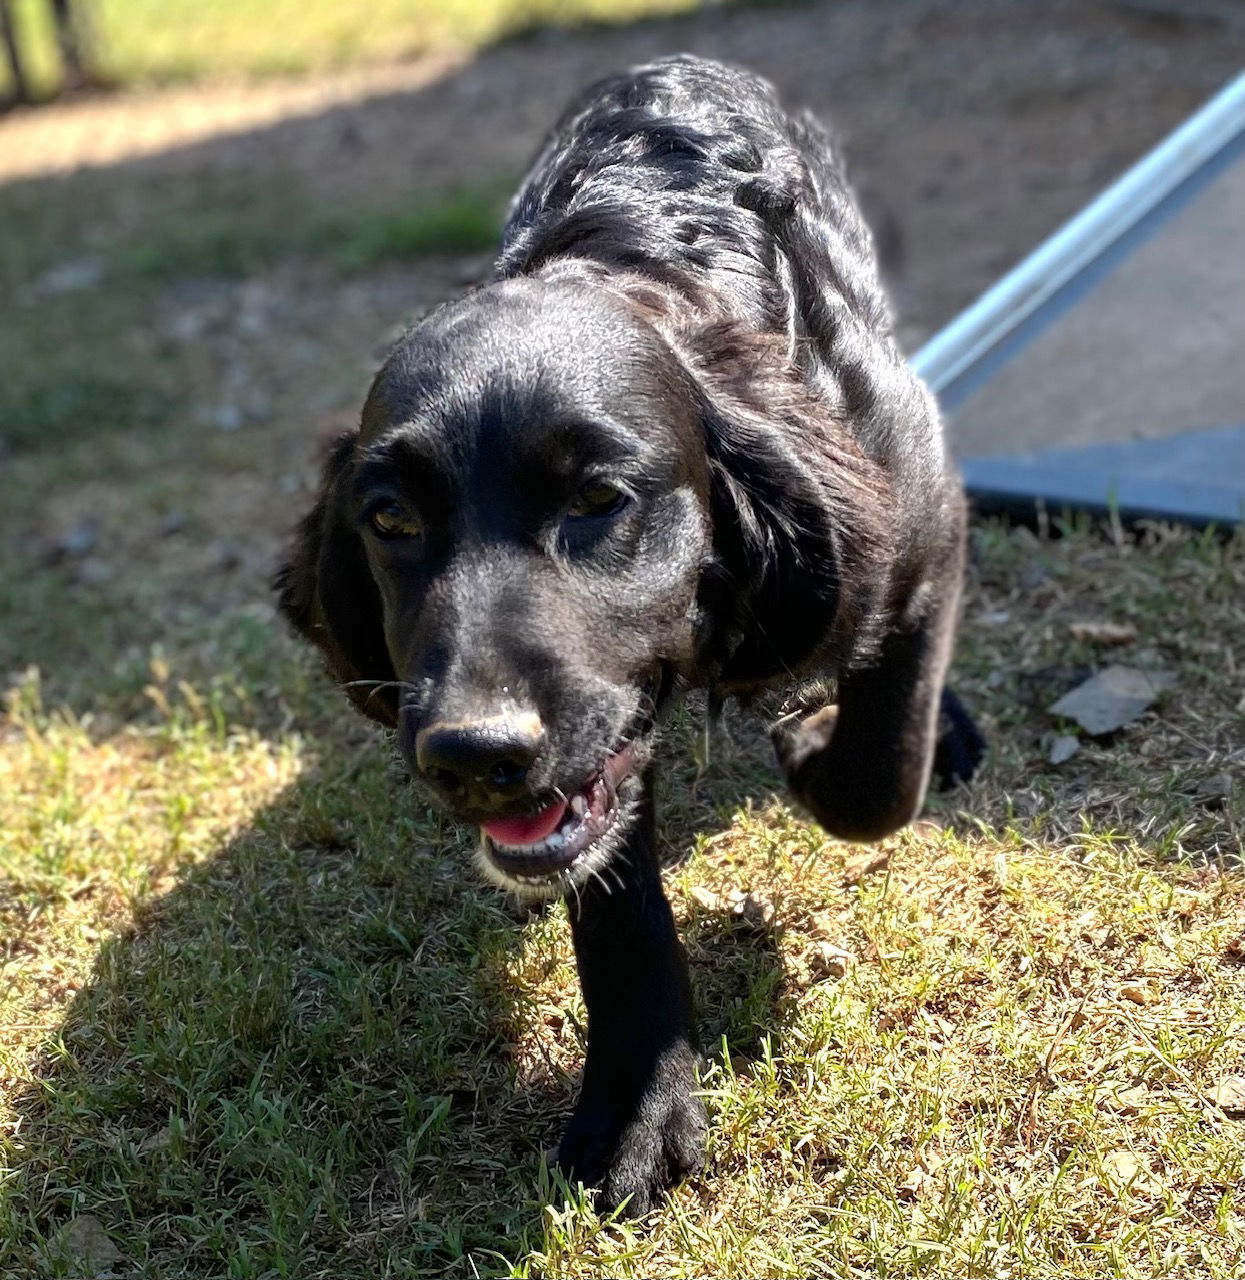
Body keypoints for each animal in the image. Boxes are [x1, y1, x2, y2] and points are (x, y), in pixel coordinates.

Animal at [278, 57, 982, 1218]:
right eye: (388, 518)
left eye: (599, 500)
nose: (470, 755)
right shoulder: (594, 761)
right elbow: (615, 909)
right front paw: (640, 1105)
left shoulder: (912, 512)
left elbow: (878, 770)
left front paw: (813, 739)